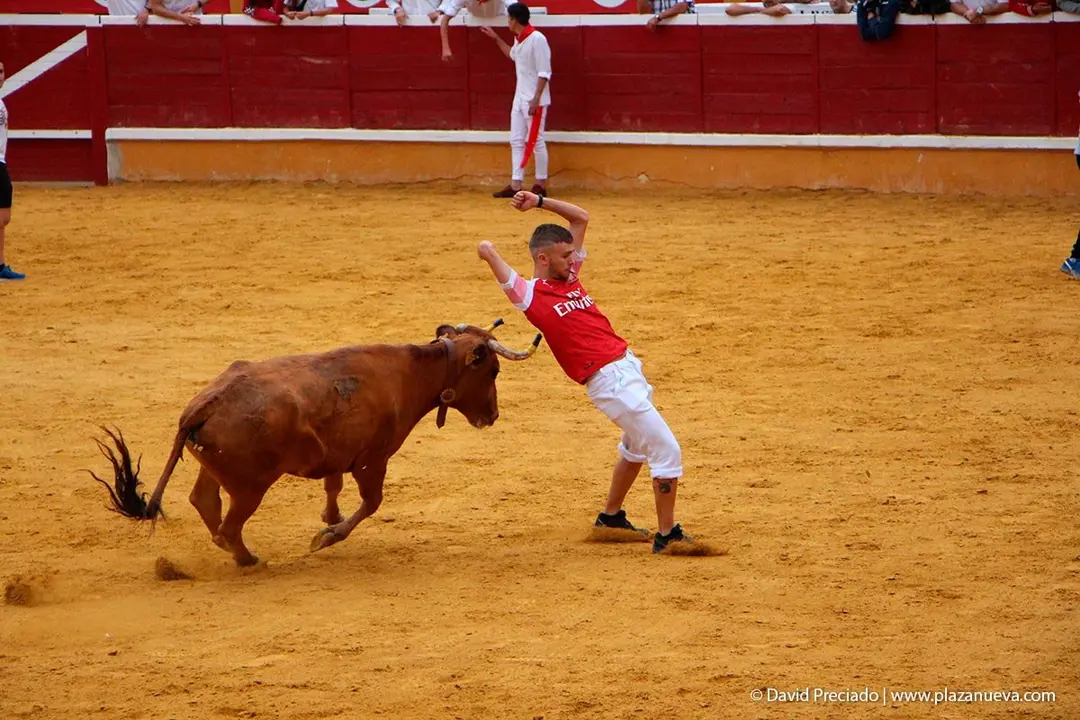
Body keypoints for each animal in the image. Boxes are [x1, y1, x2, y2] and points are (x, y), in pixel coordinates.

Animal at [90, 320, 542, 566]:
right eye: (494, 370)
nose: (493, 415)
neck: (411, 373)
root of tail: (204, 404)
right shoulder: (373, 459)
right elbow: (371, 502)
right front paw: (327, 535)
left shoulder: (342, 454)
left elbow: (332, 484)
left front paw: (329, 516)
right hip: (250, 486)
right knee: (229, 526)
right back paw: (248, 559)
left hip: (214, 470)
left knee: (205, 502)